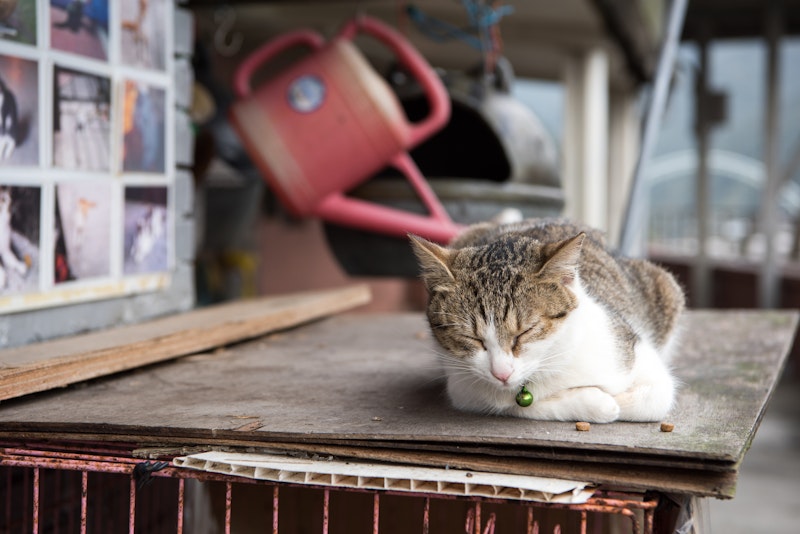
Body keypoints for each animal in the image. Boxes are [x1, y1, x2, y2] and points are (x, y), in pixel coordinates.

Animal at [410, 218, 684, 422]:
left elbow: (651, 398)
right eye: (471, 337)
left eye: (526, 331)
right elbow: (514, 404)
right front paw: (593, 401)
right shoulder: (464, 388)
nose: (501, 374)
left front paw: (604, 399)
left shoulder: (631, 354)